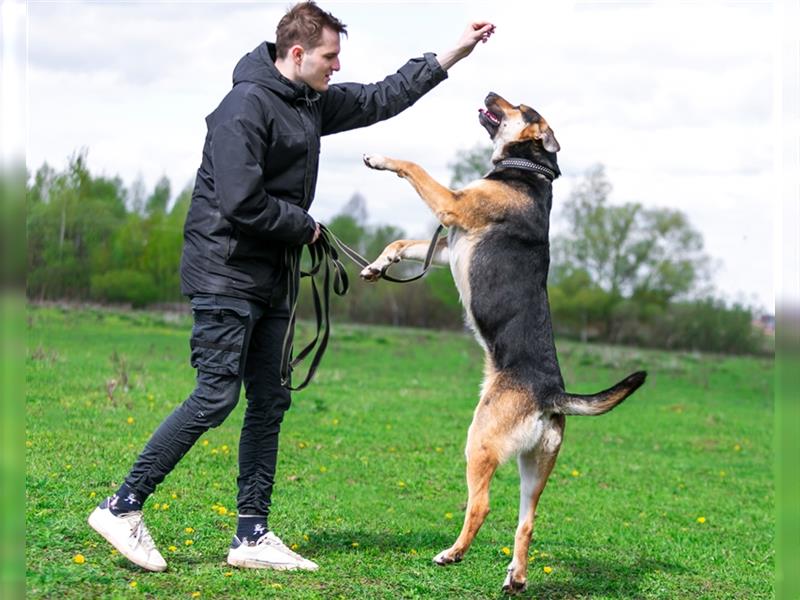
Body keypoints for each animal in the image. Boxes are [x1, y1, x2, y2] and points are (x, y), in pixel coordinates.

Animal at [360, 94, 648, 596]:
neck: (527, 169)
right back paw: (515, 577)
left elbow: (413, 166)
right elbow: (402, 242)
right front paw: (378, 266)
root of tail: (551, 394)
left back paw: (452, 554)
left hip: (480, 441)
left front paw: (379, 158)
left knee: (481, 506)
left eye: (522, 107)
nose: (490, 93)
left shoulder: (452, 207)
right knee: (526, 522)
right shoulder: (445, 244)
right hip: (536, 466)